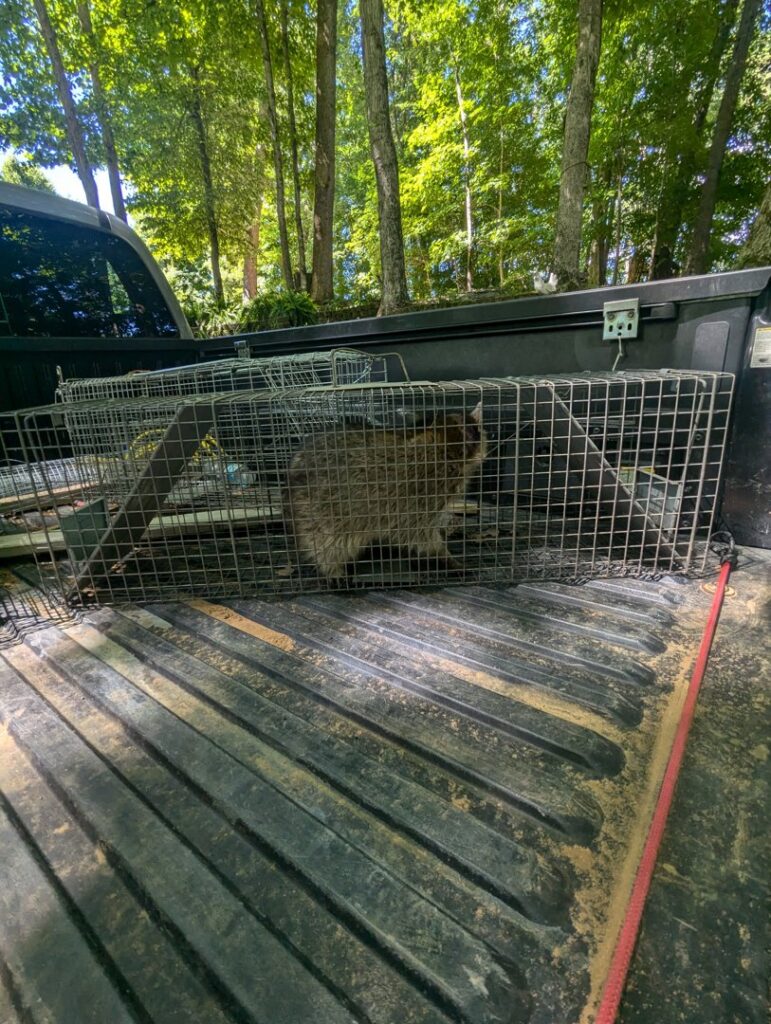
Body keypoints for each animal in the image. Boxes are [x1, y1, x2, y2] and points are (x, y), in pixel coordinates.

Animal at [285, 405, 487, 580]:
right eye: (476, 429)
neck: (440, 445)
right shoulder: (419, 495)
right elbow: (420, 535)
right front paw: (444, 557)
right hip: (319, 513)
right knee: (326, 545)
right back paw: (332, 569)